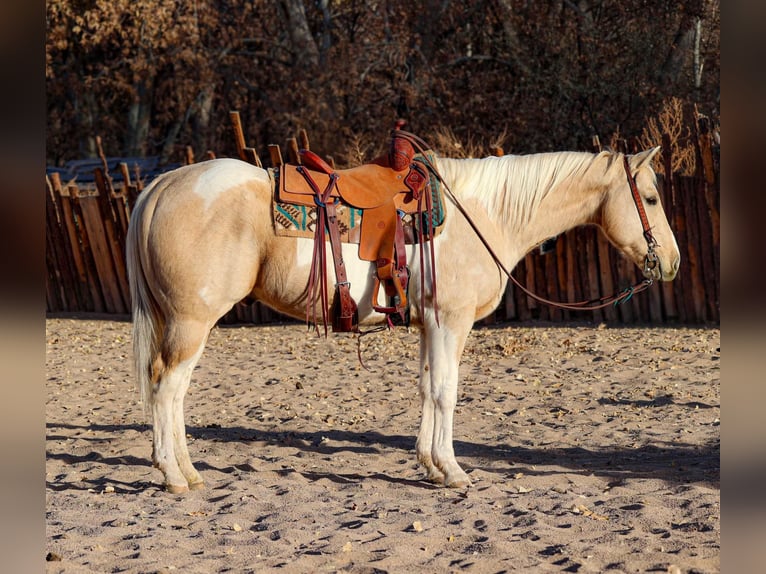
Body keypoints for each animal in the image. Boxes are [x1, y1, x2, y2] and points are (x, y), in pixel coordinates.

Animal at [126, 146, 680, 493]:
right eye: (651, 198)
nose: (671, 263)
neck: (484, 214)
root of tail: (163, 184)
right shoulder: (451, 321)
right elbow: (446, 391)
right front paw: (452, 471)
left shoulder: (430, 325)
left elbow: (426, 387)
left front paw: (430, 466)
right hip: (191, 323)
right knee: (167, 388)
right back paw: (174, 476)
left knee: (171, 390)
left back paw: (188, 471)